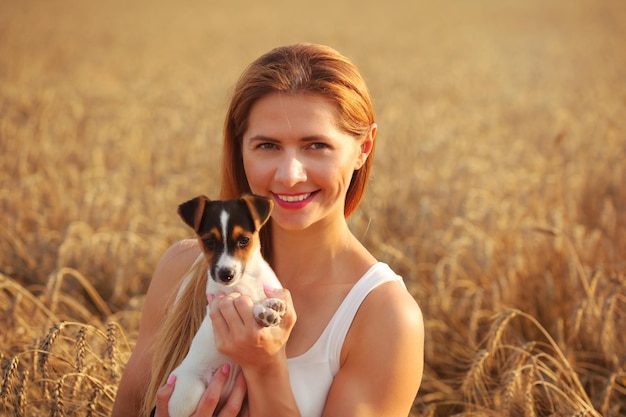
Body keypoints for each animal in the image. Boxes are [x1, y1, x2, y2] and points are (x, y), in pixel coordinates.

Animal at [165, 193, 284, 414]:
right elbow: (244, 299)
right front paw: (262, 311)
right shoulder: (222, 299)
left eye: (244, 240)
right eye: (209, 241)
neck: (248, 277)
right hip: (190, 392)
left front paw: (273, 303)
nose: (226, 274)